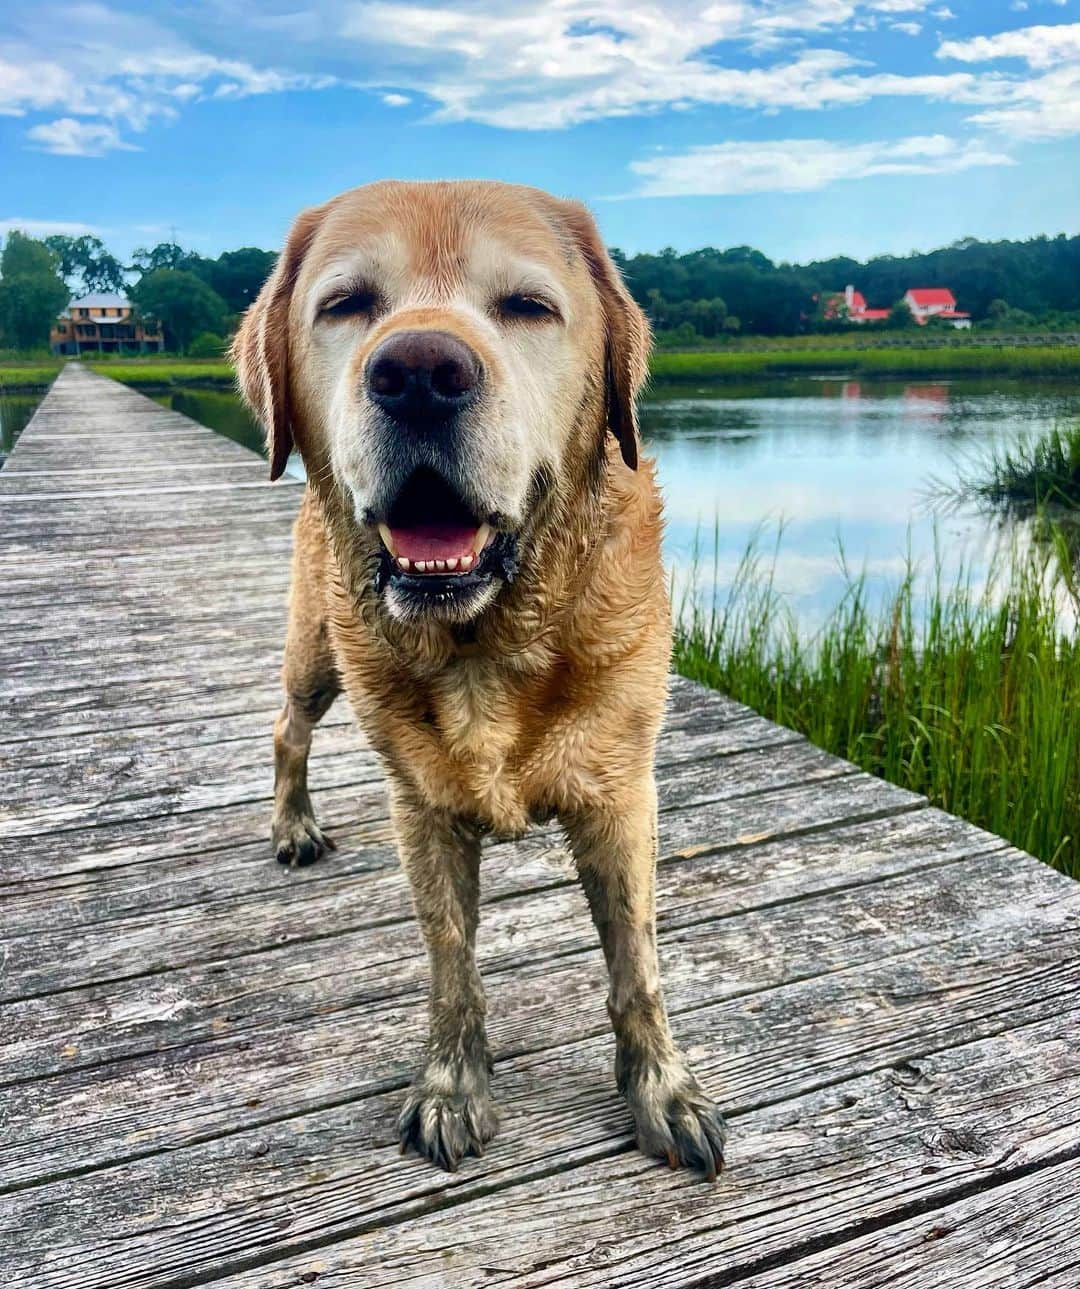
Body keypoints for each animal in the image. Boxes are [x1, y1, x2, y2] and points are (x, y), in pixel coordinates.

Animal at [237, 179, 726, 1180]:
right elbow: (451, 964)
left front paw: (664, 1093)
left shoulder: (622, 794)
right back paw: (294, 824)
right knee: (286, 726)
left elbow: (637, 966)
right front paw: (452, 1085)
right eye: (347, 303)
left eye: (528, 306)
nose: (420, 371)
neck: (483, 641)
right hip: (316, 654)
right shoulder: (421, 807)